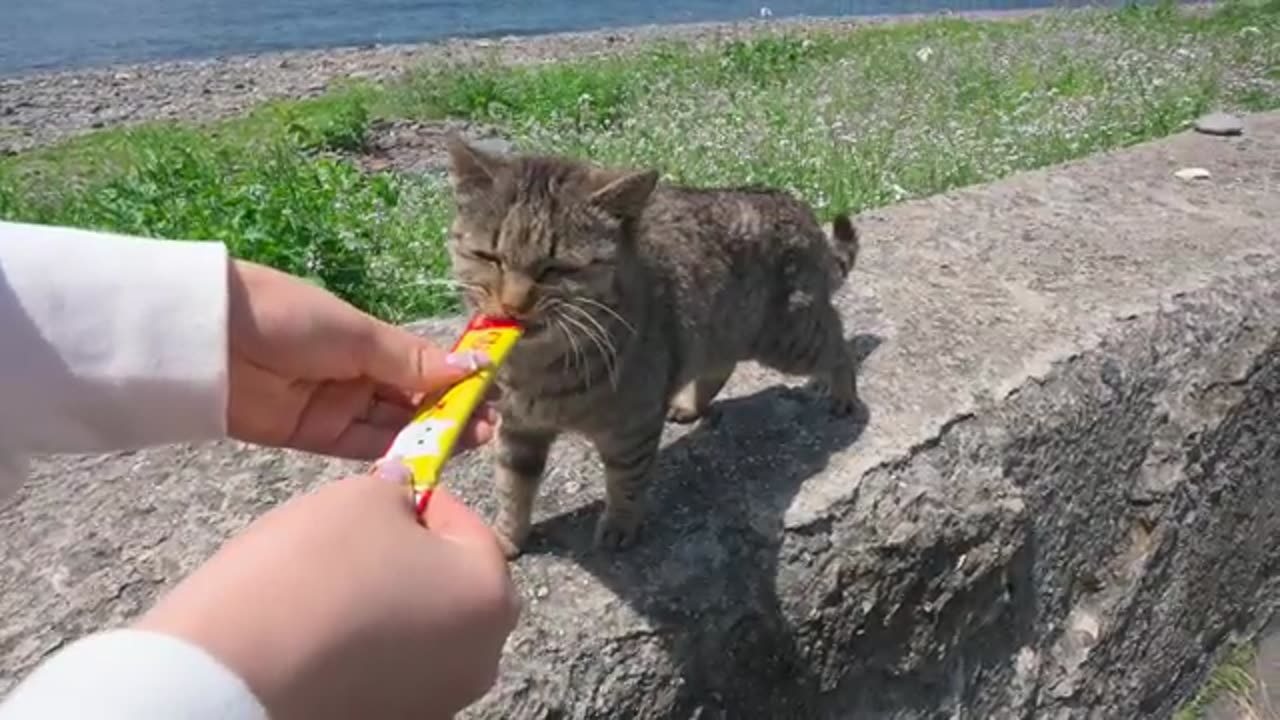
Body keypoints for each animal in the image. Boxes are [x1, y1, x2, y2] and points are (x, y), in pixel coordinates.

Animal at [442, 135, 860, 556]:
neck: (543, 369)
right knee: (719, 366)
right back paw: (690, 404)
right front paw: (505, 536)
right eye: (489, 257)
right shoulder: (518, 428)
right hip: (719, 332)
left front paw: (620, 525)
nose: (512, 304)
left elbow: (626, 484)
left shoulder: (633, 429)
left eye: (556, 268)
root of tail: (796, 203)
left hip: (789, 339)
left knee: (838, 340)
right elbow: (512, 488)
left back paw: (843, 393)